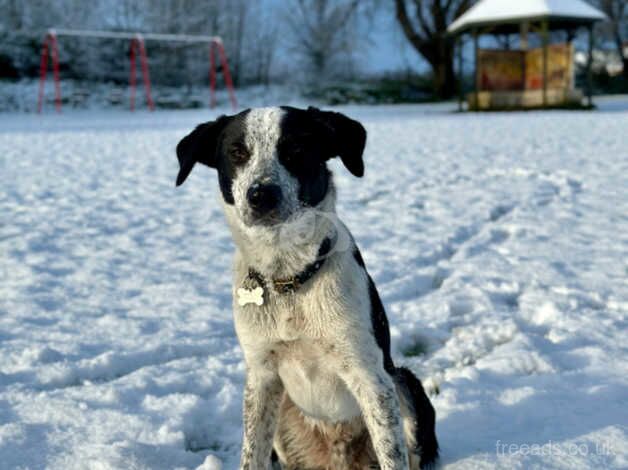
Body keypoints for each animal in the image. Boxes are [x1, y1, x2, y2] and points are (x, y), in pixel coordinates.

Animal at [175, 107, 436, 470]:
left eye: (296, 149)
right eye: (237, 152)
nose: (261, 194)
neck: (288, 282)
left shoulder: (372, 379)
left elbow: (392, 456)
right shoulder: (261, 377)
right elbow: (250, 455)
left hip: (404, 382)